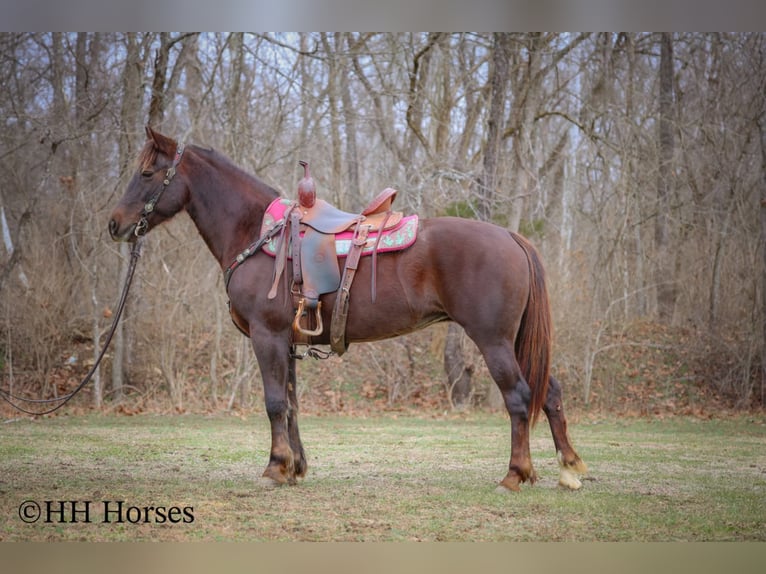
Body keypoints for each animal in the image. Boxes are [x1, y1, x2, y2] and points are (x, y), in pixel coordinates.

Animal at [108, 127, 587, 492]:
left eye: (147, 172)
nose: (115, 224)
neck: (256, 233)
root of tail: (510, 237)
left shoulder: (267, 335)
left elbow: (273, 402)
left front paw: (274, 468)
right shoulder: (286, 341)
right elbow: (291, 402)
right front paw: (295, 467)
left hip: (493, 340)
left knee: (519, 397)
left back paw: (515, 475)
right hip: (516, 341)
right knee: (550, 393)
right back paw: (569, 469)